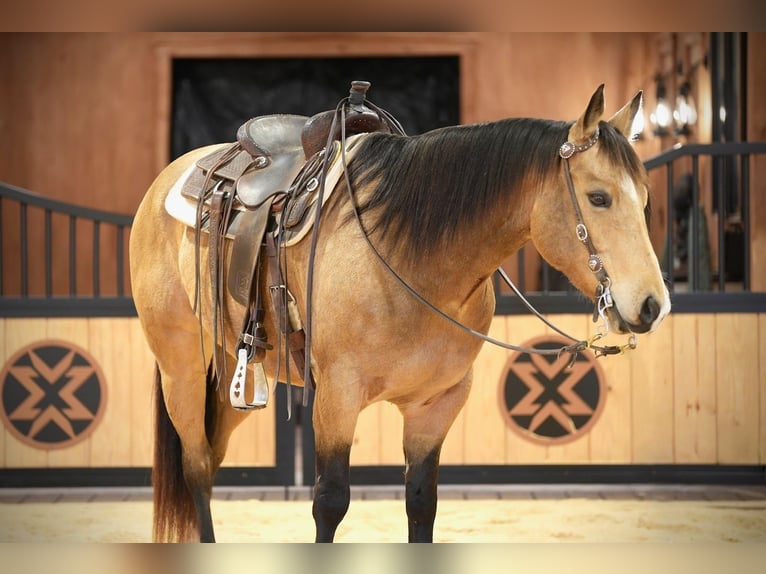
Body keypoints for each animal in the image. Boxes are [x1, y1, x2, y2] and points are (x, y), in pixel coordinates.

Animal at [129, 84, 670, 543]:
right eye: (599, 197)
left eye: (645, 198)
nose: (652, 305)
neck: (410, 257)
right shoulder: (337, 399)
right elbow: (330, 502)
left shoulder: (438, 405)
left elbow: (421, 503)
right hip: (181, 369)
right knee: (197, 467)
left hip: (228, 372)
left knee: (211, 457)